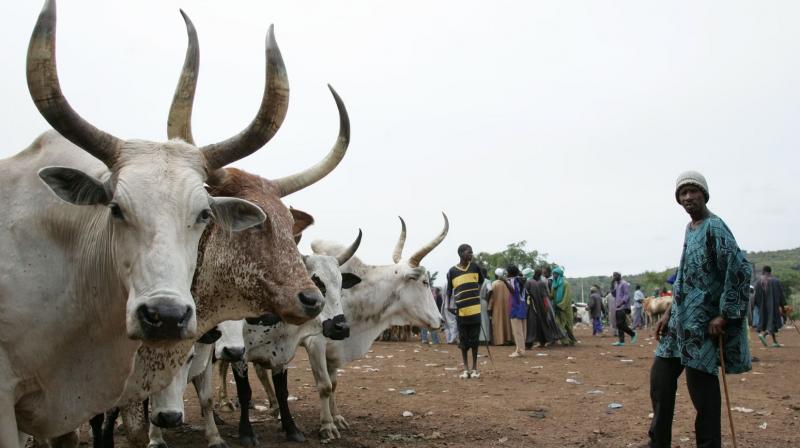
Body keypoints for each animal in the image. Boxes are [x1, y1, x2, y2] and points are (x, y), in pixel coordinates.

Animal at [298, 214, 450, 440]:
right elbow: (324, 386)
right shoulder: (315, 343)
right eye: (424, 281)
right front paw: (327, 425)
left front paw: (337, 418)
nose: (441, 321)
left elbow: (333, 385)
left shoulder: (334, 348)